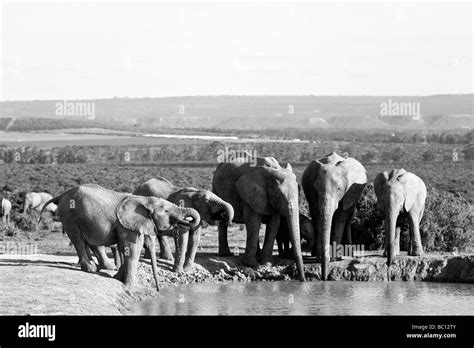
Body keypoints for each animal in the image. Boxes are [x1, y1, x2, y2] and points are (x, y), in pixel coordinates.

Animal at [38, 184, 198, 290]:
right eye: (166, 211)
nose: (158, 290)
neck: (144, 200)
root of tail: (61, 195)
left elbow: (124, 247)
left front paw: (117, 278)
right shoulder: (125, 224)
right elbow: (132, 247)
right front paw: (129, 286)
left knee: (86, 240)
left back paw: (99, 267)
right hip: (70, 216)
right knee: (78, 240)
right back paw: (91, 269)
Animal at [302, 152, 368, 280]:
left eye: (338, 189)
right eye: (317, 189)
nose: (324, 277)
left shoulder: (348, 193)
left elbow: (340, 218)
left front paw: (334, 259)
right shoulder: (313, 194)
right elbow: (318, 217)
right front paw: (320, 258)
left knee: (348, 218)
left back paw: (348, 253)